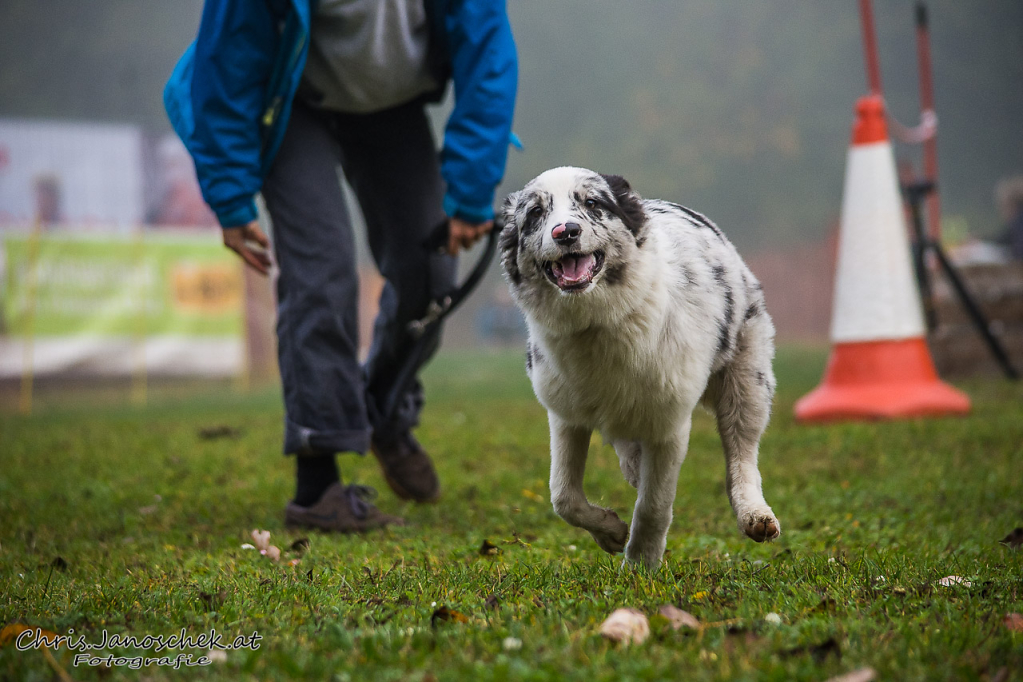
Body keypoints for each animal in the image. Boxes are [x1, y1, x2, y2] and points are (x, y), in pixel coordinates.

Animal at [499, 167, 777, 568]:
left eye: (592, 203)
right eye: (535, 212)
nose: (565, 232)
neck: (597, 324)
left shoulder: (669, 422)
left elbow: (653, 504)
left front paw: (640, 565)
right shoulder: (567, 414)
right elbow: (563, 496)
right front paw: (612, 531)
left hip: (747, 381)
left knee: (742, 452)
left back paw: (754, 513)